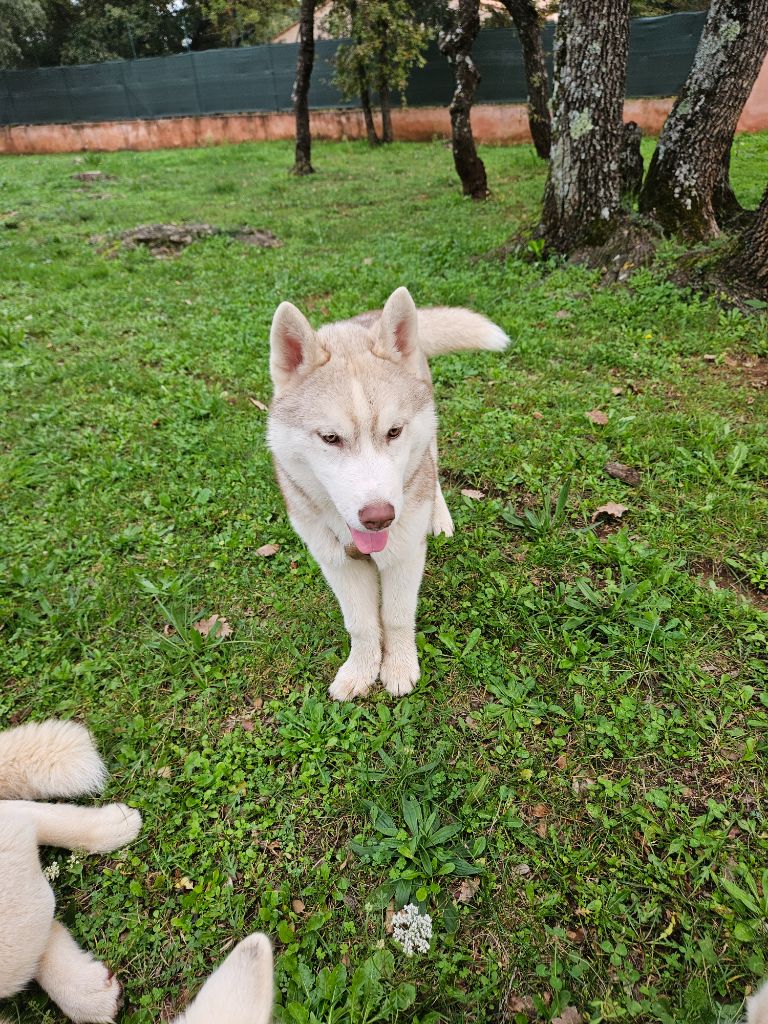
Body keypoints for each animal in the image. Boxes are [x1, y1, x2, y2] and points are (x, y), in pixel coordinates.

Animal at [267, 286, 508, 701]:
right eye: (330, 438)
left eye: (394, 432)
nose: (379, 517)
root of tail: (361, 320)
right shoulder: (337, 563)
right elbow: (362, 624)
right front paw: (362, 669)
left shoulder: (406, 555)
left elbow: (395, 617)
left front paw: (398, 666)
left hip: (430, 437)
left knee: (432, 468)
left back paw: (439, 515)